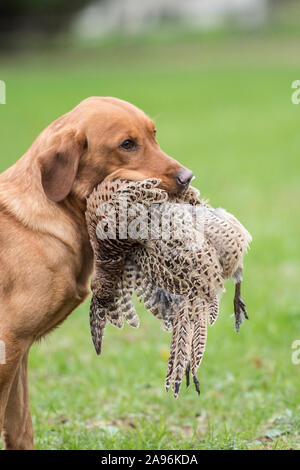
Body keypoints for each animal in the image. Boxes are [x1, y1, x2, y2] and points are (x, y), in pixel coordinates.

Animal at [0, 96, 192, 452]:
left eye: (154, 134)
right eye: (127, 144)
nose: (188, 177)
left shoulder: (19, 350)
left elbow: (20, 427)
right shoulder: (9, 342)